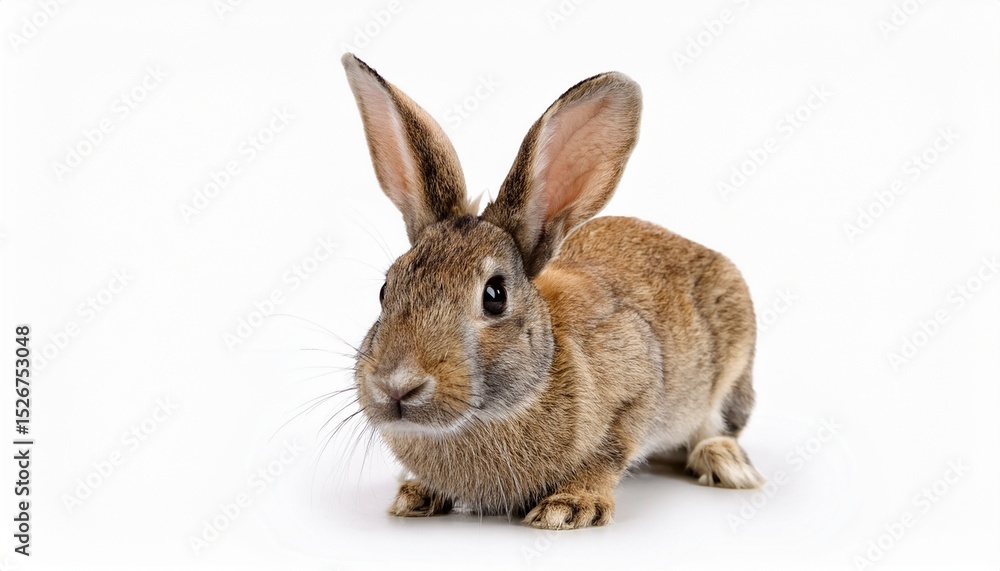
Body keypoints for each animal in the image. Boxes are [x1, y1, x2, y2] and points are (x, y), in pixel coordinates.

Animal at [341, 53, 764, 530]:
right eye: (384, 290)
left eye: (494, 295)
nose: (395, 387)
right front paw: (417, 494)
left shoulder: (636, 387)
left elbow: (610, 452)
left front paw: (570, 506)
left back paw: (725, 464)